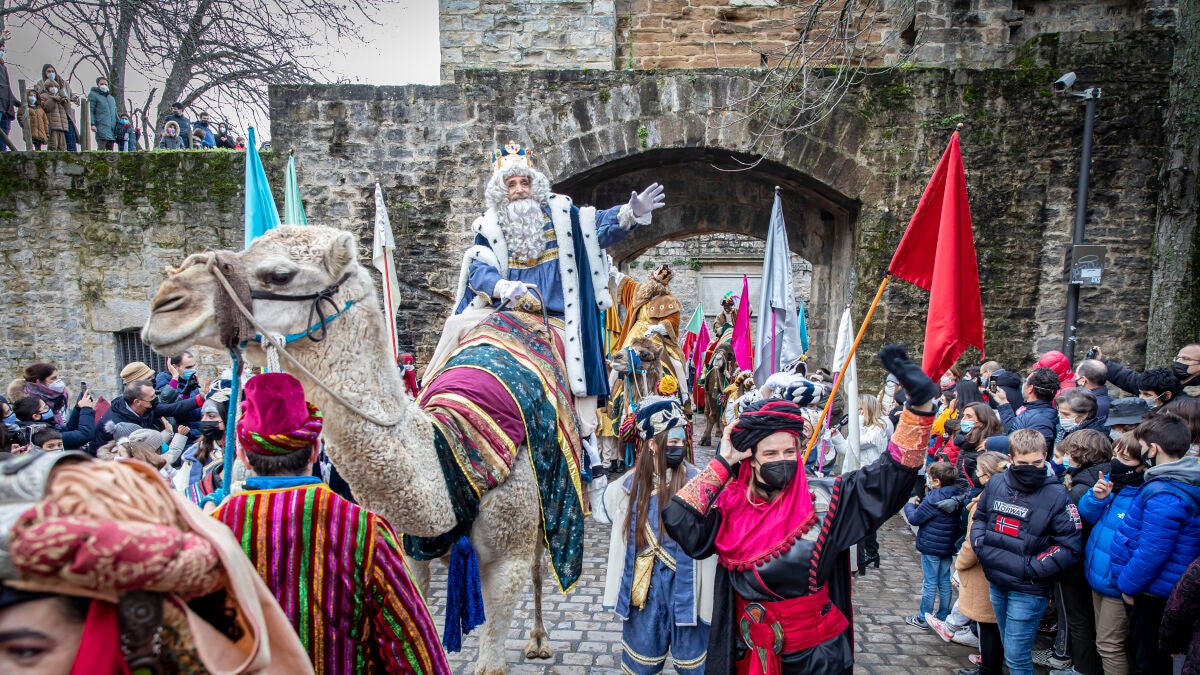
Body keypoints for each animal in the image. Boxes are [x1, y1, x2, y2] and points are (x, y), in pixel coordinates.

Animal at [141, 226, 558, 675]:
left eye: (280, 274)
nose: (165, 306)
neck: (450, 449)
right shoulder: (412, 550)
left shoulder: (507, 556)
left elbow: (494, 647)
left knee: (540, 565)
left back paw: (538, 640)